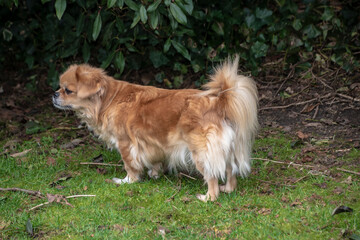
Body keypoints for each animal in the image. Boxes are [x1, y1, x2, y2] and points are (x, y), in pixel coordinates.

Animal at [52, 56, 258, 202]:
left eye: (68, 90)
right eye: (60, 87)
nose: (54, 94)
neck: (108, 100)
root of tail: (218, 102)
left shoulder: (126, 144)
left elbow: (130, 166)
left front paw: (127, 181)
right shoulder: (152, 144)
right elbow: (155, 161)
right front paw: (155, 174)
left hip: (201, 152)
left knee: (212, 176)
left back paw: (208, 197)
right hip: (225, 150)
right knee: (230, 172)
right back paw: (227, 189)